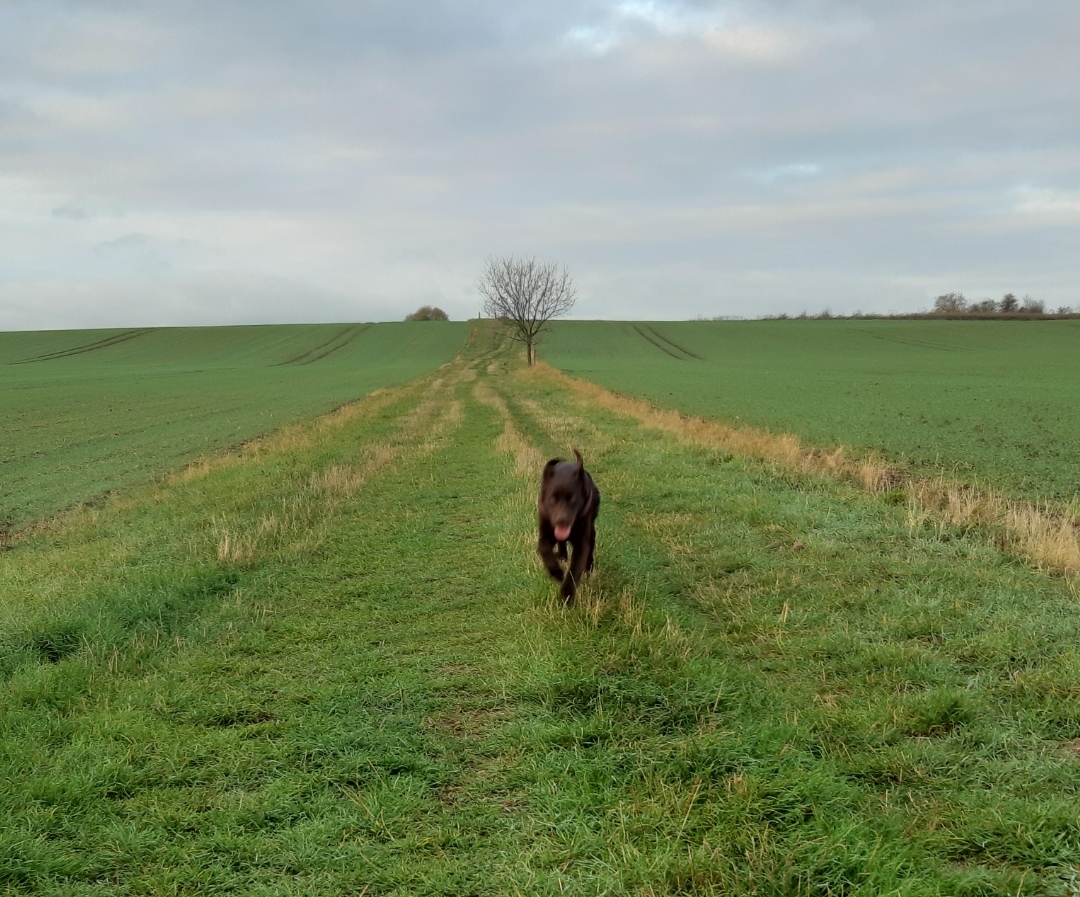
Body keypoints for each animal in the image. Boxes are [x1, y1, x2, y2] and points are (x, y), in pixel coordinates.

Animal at [537, 449, 600, 604]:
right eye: (552, 499)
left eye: (573, 499)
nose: (562, 520)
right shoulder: (545, 532)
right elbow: (543, 548)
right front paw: (557, 572)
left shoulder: (582, 543)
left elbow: (575, 569)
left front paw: (567, 594)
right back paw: (561, 556)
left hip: (591, 531)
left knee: (590, 551)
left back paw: (589, 567)